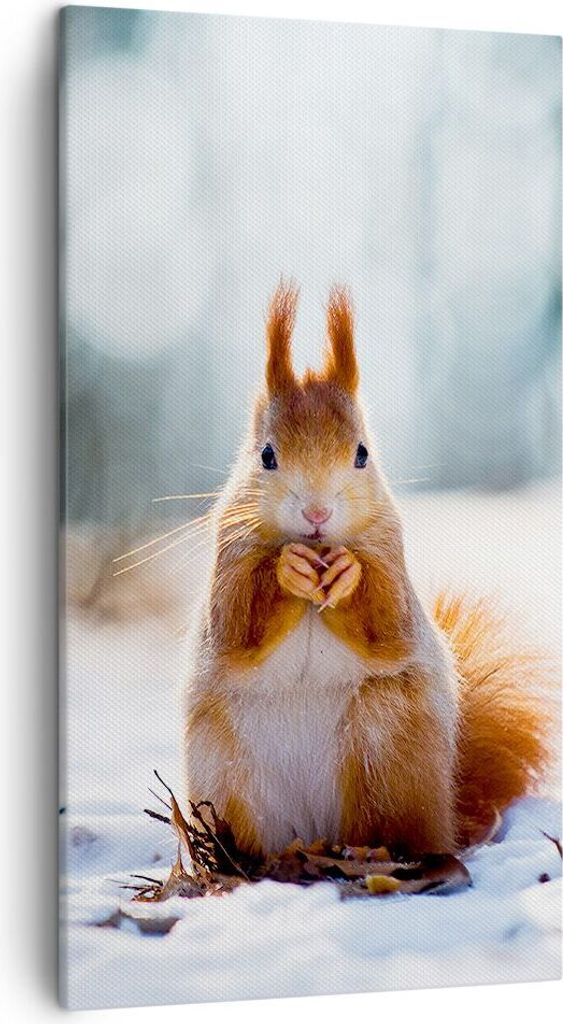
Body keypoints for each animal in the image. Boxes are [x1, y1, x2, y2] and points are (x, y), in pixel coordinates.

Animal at [184, 282, 552, 859]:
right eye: (266, 455)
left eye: (362, 454)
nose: (317, 514)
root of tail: (312, 832)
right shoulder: (229, 557)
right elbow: (235, 626)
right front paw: (287, 568)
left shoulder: (391, 556)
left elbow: (390, 624)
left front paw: (348, 574)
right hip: (226, 770)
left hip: (387, 745)